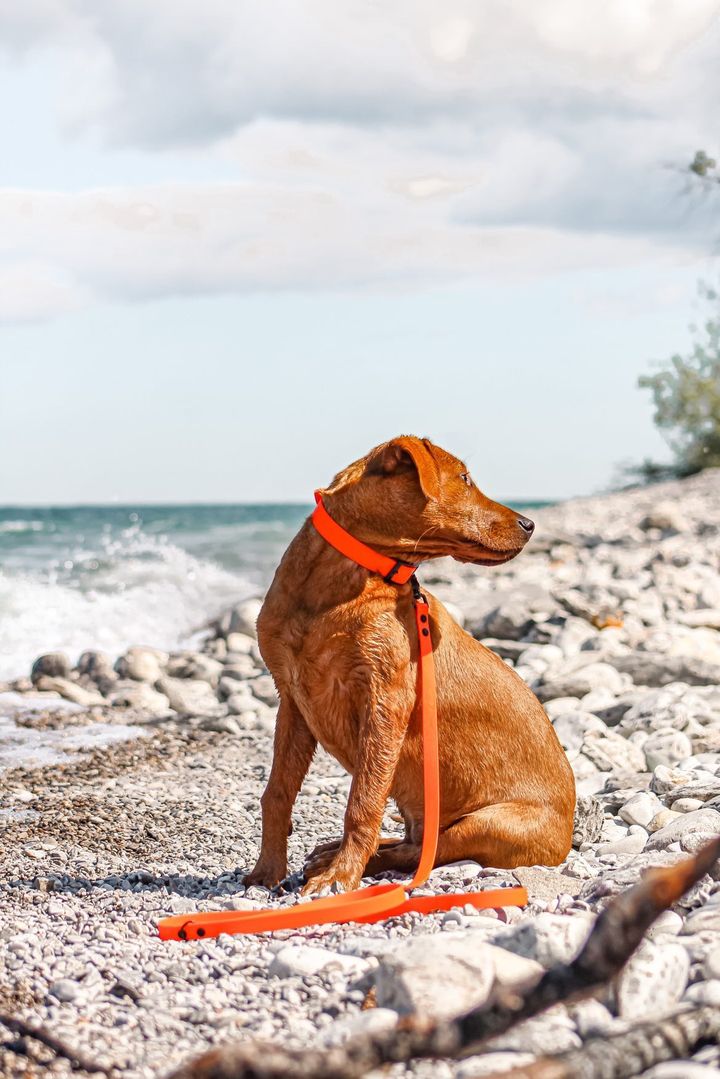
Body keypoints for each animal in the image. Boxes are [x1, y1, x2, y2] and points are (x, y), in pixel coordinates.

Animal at [248, 431, 574, 893]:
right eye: (464, 478)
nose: (530, 524)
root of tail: (567, 838)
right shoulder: (292, 699)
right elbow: (277, 792)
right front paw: (267, 870)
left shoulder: (386, 700)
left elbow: (362, 802)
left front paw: (340, 877)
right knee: (413, 841)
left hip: (487, 824)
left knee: (423, 851)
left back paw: (342, 860)